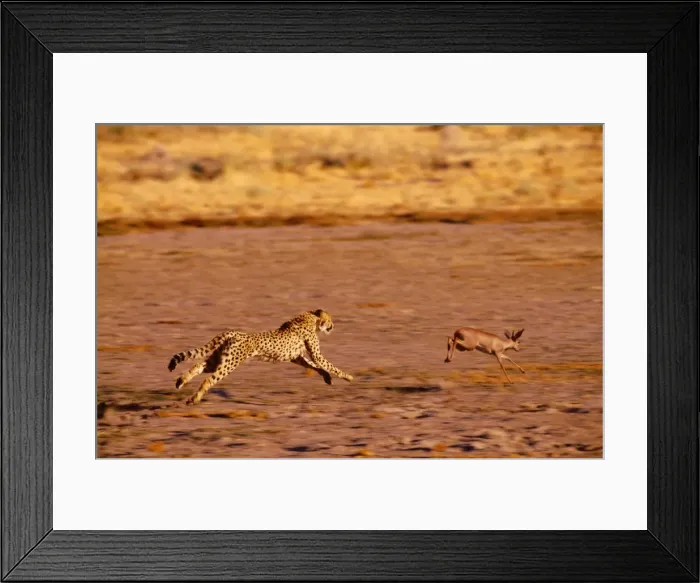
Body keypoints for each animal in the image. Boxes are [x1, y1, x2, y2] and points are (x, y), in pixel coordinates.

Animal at [167, 309, 354, 406]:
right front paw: (348, 377)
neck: (312, 317)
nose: (333, 326)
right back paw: (194, 398)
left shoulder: (296, 357)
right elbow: (327, 364)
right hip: (230, 363)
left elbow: (313, 365)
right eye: (330, 320)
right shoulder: (314, 353)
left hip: (220, 359)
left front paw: (327, 377)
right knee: (209, 379)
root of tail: (234, 332)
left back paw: (181, 381)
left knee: (198, 365)